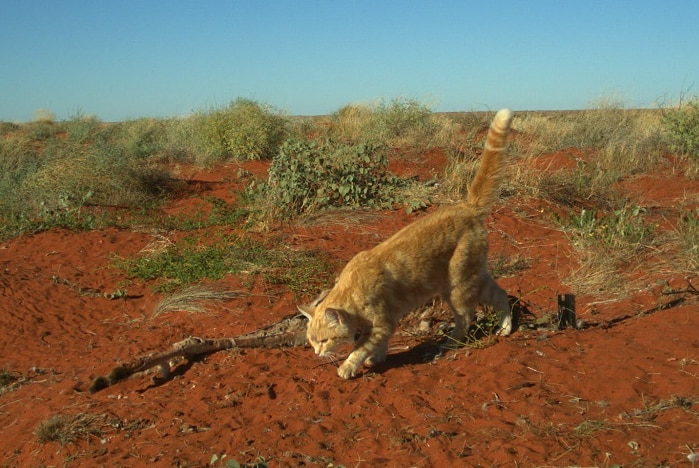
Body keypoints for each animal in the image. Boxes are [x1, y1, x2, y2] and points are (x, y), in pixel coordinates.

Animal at [300, 108, 516, 378]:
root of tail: (467, 206)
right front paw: (377, 359)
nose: (318, 353)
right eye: (311, 340)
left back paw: (450, 343)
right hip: (475, 276)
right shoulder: (386, 325)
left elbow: (359, 349)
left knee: (466, 317)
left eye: (325, 340)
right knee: (501, 294)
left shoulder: (382, 324)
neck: (352, 293)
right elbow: (378, 346)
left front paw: (348, 367)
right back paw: (505, 328)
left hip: (458, 286)